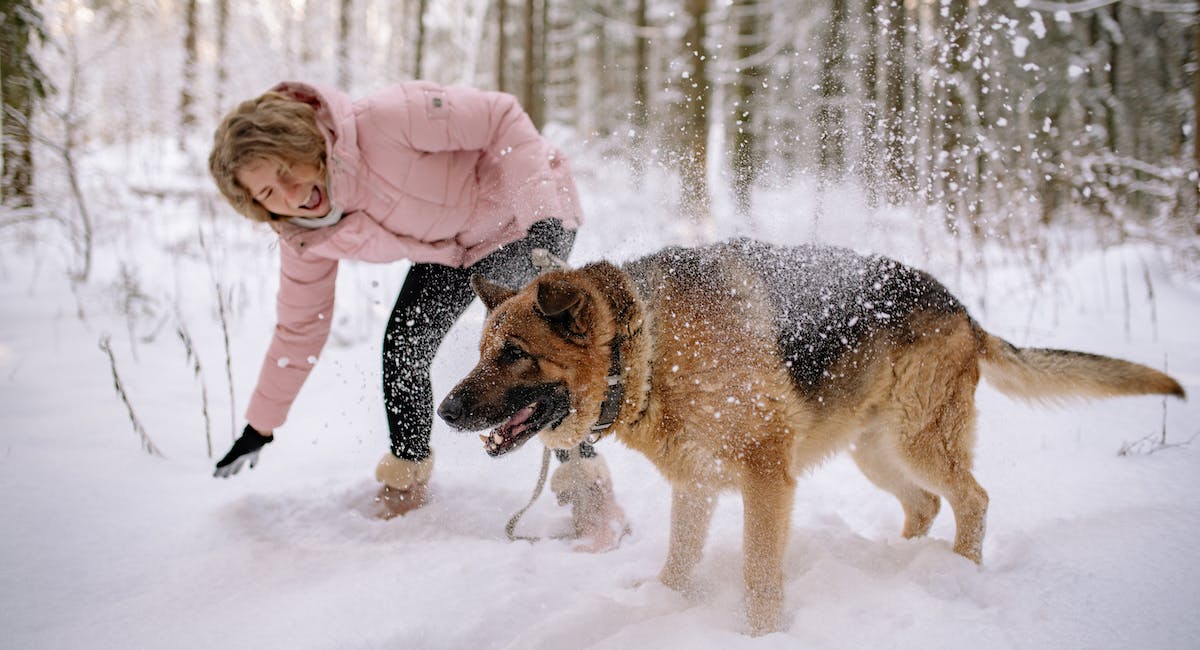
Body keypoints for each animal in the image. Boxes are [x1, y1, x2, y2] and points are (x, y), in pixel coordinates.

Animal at [439, 241, 1180, 638]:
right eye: (481, 351)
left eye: (513, 354)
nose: (444, 411)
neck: (646, 345)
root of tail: (963, 310)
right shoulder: (696, 483)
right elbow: (679, 560)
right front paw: (662, 605)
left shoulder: (766, 479)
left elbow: (760, 575)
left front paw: (758, 636)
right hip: (875, 453)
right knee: (924, 504)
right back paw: (899, 562)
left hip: (916, 442)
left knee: (972, 498)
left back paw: (959, 569)